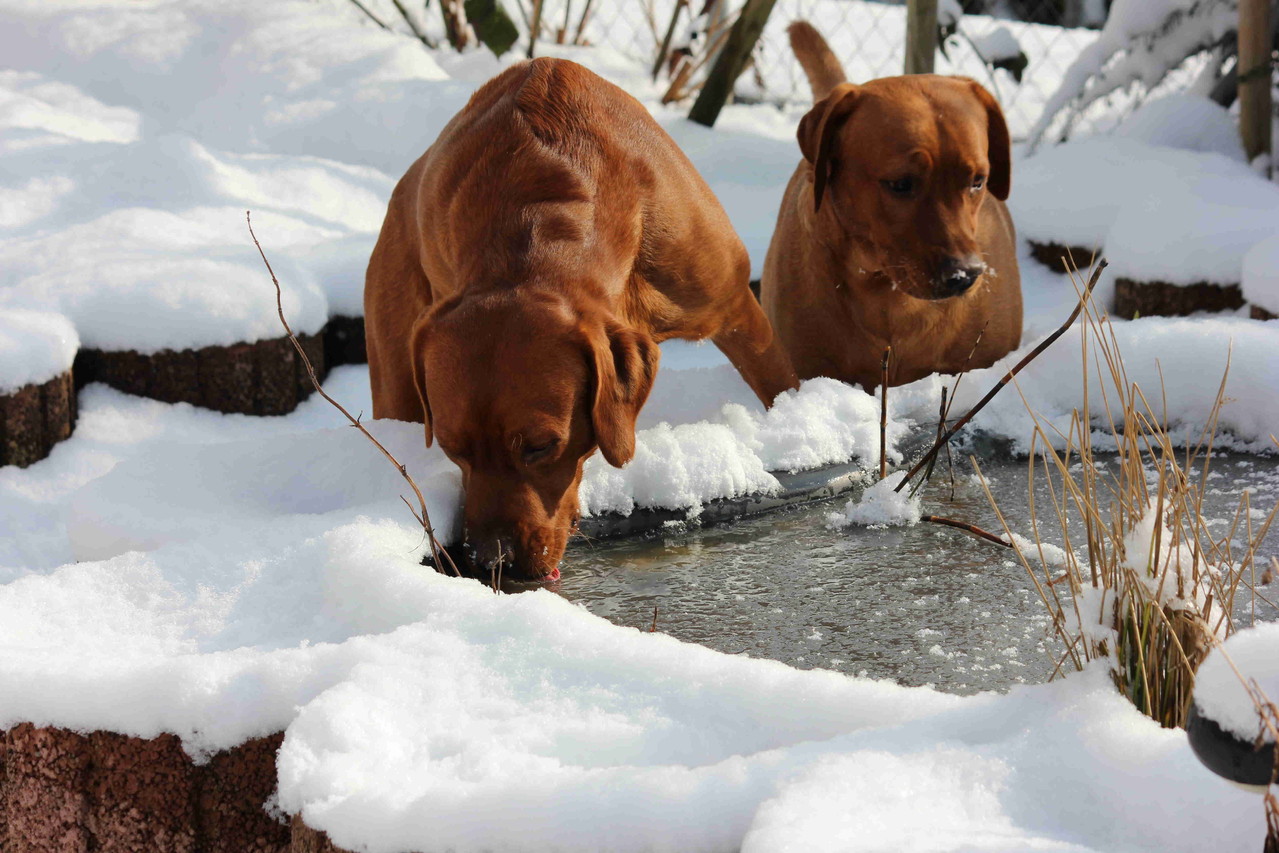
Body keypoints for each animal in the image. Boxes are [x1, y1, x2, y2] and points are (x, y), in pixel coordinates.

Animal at [365, 56, 792, 583]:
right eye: (452, 446)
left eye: (541, 446)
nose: (492, 561)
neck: (536, 223)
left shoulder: (734, 305)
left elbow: (779, 380)